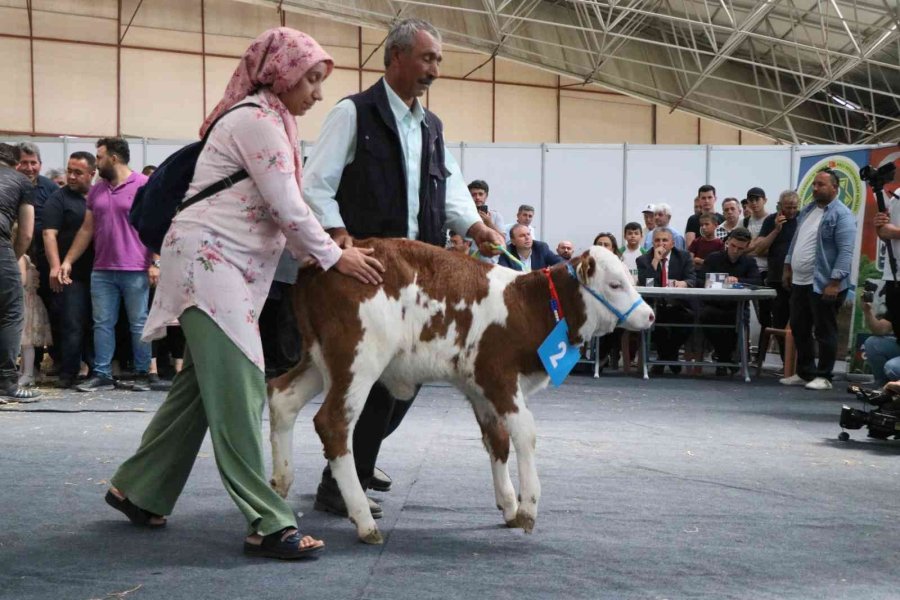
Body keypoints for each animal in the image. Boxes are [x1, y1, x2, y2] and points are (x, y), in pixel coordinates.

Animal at [268, 239, 652, 544]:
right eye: (615, 284)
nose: (650, 315)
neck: (528, 306)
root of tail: (324, 263)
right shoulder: (497, 375)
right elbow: (525, 433)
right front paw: (528, 507)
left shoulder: (479, 387)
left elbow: (497, 440)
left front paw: (508, 505)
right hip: (358, 359)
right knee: (333, 423)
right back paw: (363, 521)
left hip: (320, 359)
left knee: (282, 397)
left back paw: (280, 486)